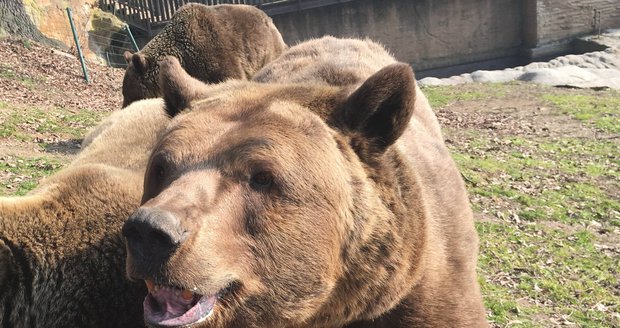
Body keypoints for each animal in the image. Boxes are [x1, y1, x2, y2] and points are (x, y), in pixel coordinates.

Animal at [121, 2, 288, 107]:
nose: (123, 107)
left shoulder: (215, 52)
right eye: (125, 93)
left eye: (129, 94)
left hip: (266, 49)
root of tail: (269, 19)